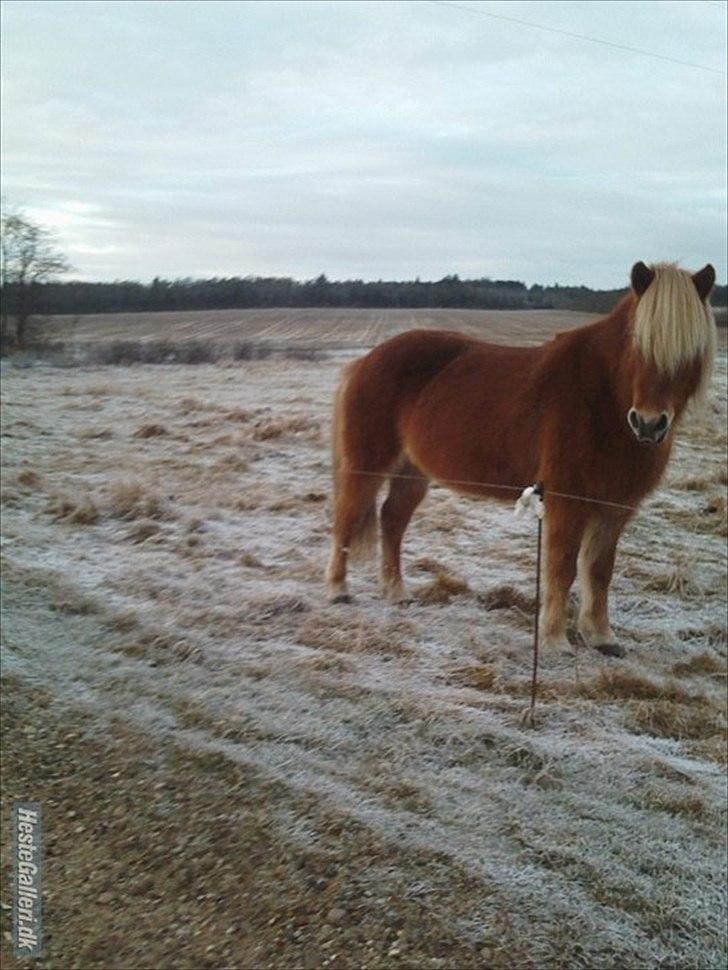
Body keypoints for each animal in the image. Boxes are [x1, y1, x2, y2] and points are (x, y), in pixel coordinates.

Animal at [326, 262, 716, 656]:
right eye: (637, 344)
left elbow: (600, 570)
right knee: (347, 517)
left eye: (690, 352)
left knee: (392, 521)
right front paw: (555, 640)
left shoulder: (614, 507)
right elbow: (562, 567)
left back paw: (397, 594)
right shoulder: (566, 500)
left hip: (412, 472)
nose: (649, 424)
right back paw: (338, 591)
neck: (604, 401)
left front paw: (601, 637)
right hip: (368, 464)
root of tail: (367, 360)